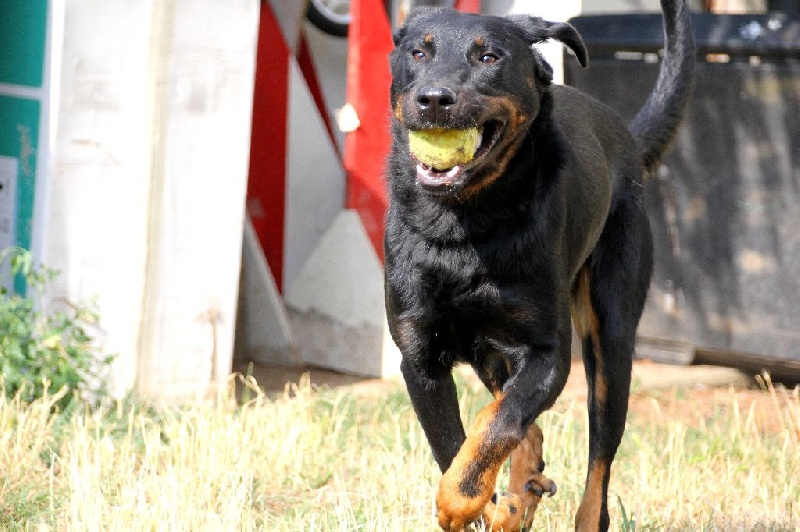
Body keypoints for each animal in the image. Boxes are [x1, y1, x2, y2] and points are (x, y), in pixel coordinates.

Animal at [386, 1, 692, 532]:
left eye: (489, 57)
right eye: (418, 53)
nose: (434, 99)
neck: (462, 224)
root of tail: (628, 142)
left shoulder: (547, 354)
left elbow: (496, 427)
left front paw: (461, 504)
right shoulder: (420, 357)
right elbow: (457, 445)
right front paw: (490, 507)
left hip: (610, 342)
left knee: (598, 466)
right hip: (494, 353)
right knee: (519, 422)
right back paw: (520, 492)